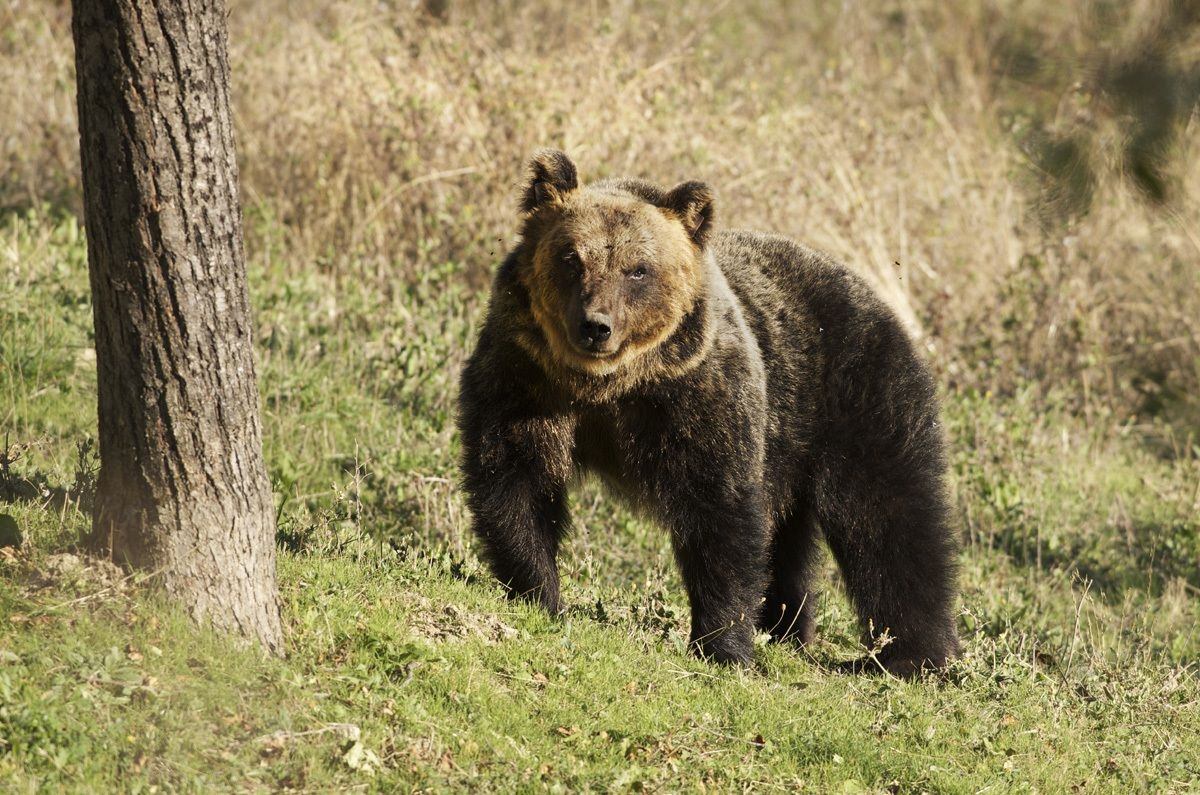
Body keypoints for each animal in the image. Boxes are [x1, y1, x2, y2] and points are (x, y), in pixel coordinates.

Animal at [457, 149, 959, 675]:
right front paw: (538, 595)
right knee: (792, 542)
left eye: (638, 270)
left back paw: (913, 655)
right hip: (788, 442)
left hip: (855, 394)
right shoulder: (527, 379)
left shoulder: (699, 397)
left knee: (889, 518)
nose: (596, 326)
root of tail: (875, 294)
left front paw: (723, 645)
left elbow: (719, 512)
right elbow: (517, 480)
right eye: (572, 257)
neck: (609, 386)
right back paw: (787, 632)